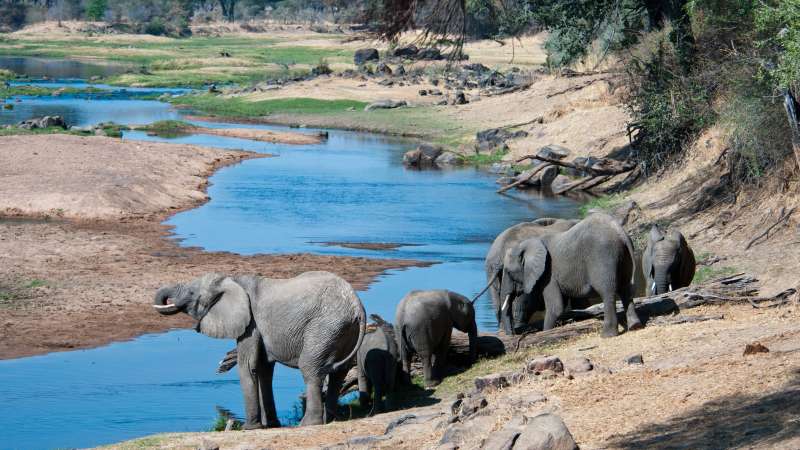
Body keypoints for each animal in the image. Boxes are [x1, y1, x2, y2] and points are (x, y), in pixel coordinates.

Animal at [152, 271, 365, 428]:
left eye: (191, 294)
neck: (232, 280)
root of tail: (357, 306)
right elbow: (264, 369)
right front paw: (271, 425)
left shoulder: (250, 323)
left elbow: (248, 366)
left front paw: (250, 428)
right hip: (343, 331)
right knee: (338, 373)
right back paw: (331, 419)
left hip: (324, 327)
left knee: (310, 369)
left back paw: (308, 424)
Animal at [501, 213, 642, 337]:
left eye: (508, 272)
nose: (513, 334)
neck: (527, 244)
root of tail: (620, 232)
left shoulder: (548, 274)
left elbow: (556, 307)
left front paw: (546, 332)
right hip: (624, 256)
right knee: (626, 289)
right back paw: (635, 326)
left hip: (602, 256)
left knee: (607, 291)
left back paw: (607, 335)